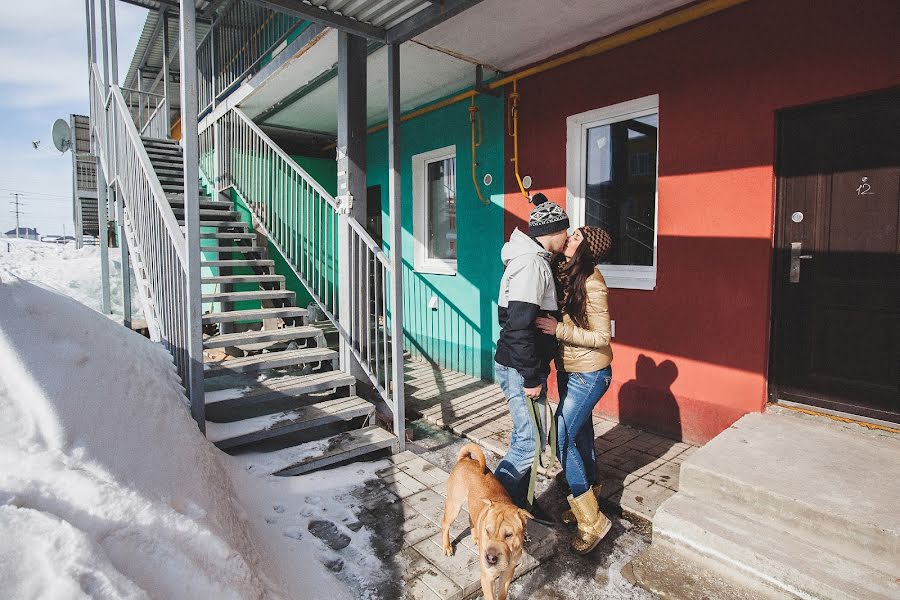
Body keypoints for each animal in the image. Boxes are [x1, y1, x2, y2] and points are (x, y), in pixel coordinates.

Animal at [440, 440, 532, 600]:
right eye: (487, 531)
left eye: (509, 535)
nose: (490, 558)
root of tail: (466, 459)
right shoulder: (487, 577)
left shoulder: (508, 573)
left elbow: (502, 594)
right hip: (454, 504)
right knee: (445, 523)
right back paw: (447, 546)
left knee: (471, 518)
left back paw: (475, 537)